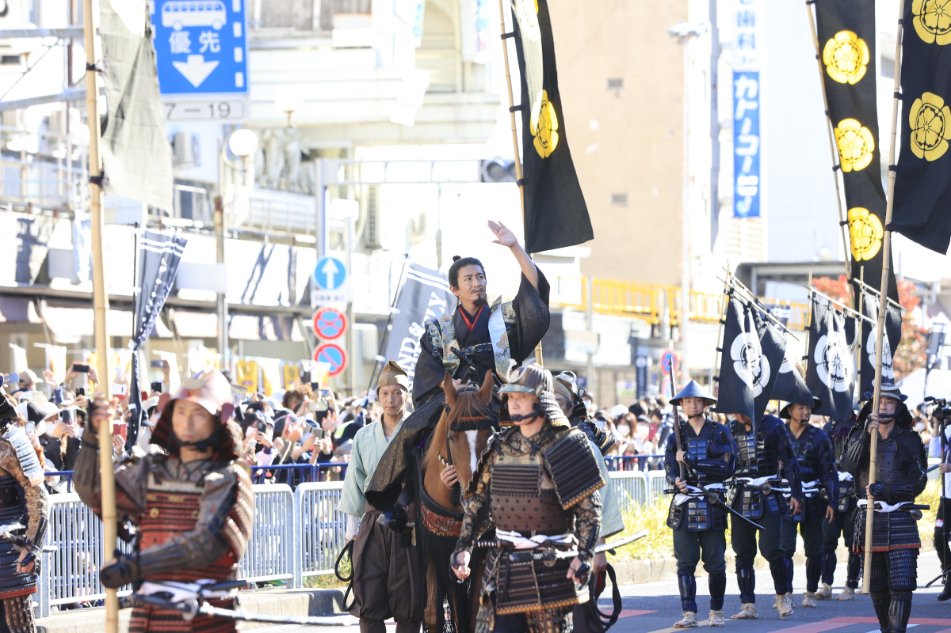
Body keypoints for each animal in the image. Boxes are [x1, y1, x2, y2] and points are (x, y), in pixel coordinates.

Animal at [420, 370, 502, 632]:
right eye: (452, 437)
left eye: (491, 435)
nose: (475, 493)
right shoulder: (434, 544)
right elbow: (433, 613)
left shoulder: (482, 548)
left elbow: (474, 612)